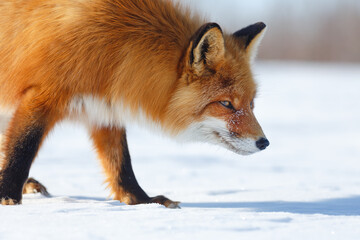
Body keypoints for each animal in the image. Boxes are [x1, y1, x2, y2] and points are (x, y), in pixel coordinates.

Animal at [0, 0, 270, 208]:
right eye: (226, 103)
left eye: (251, 104)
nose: (264, 143)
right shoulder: (41, 97)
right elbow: (22, 149)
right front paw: (8, 197)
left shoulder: (103, 111)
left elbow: (121, 165)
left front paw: (143, 201)